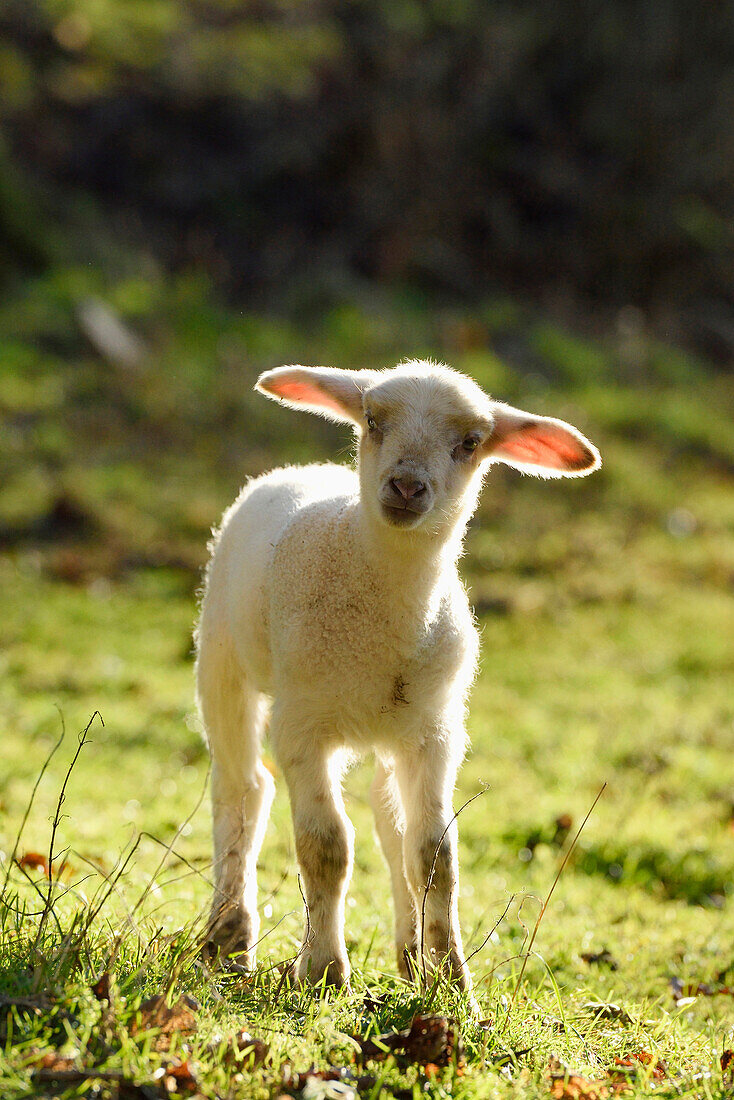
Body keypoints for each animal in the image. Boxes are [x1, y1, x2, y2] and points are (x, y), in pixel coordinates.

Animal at [196, 360, 603, 998]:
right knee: (243, 790)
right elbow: (325, 848)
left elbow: (434, 855)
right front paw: (323, 971)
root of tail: (306, 470)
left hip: (395, 726)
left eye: (471, 443)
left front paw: (452, 983)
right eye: (372, 420)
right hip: (222, 659)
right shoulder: (302, 725)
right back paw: (230, 937)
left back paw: (409, 954)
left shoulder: (435, 734)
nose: (408, 487)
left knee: (389, 824)